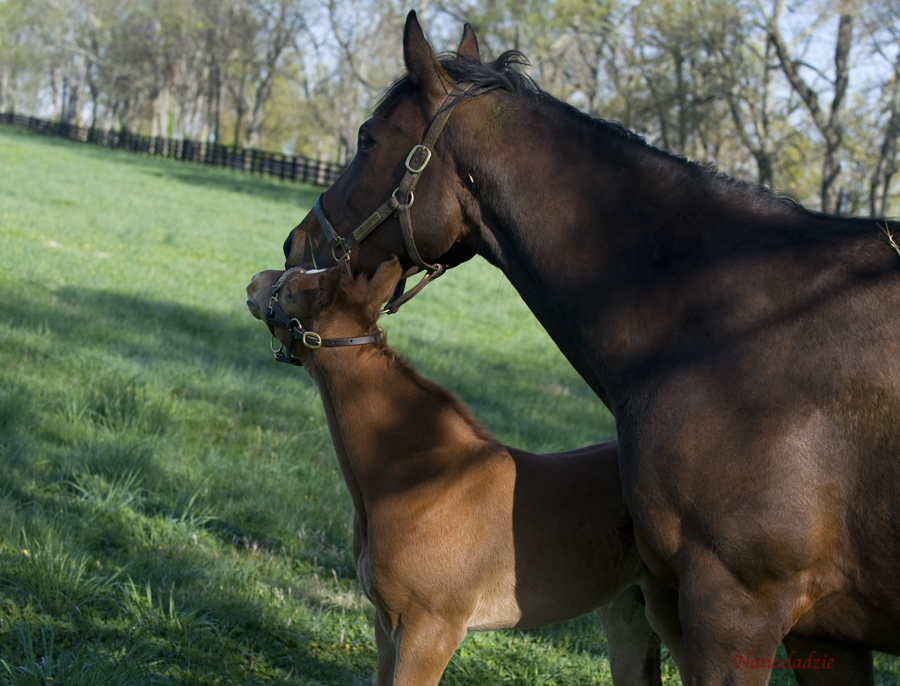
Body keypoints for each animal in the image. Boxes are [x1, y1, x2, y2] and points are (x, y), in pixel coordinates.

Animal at [246, 258, 666, 686]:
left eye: (295, 289)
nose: (255, 280)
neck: (424, 479)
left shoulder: (430, 632)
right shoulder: (386, 625)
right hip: (628, 615)